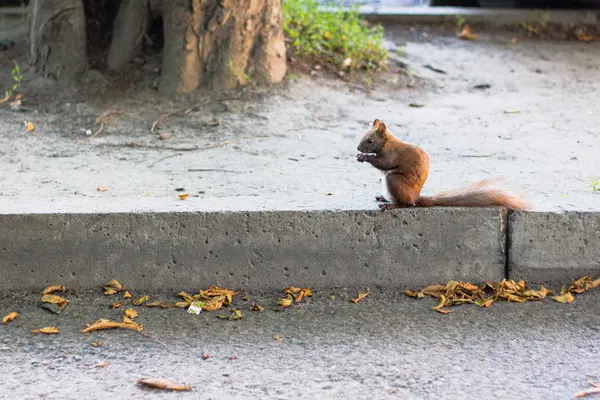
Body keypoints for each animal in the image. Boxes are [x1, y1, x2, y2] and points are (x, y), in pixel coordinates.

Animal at [358, 119, 528, 212]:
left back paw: (393, 206)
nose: (358, 148)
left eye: (370, 141)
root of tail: (416, 196)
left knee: (407, 205)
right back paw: (384, 198)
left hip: (394, 181)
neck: (388, 143)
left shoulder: (392, 155)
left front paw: (364, 157)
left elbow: (384, 163)